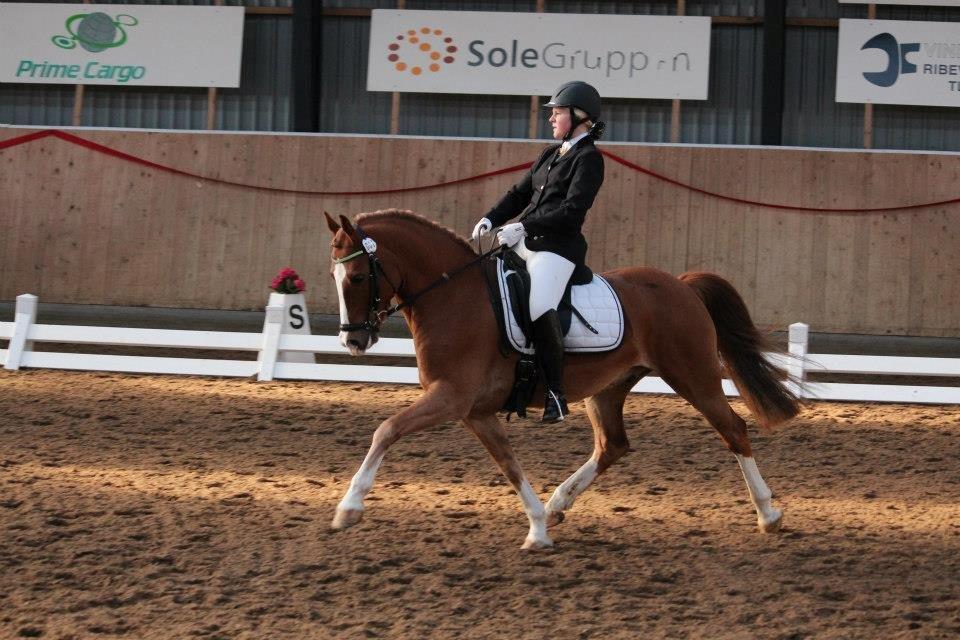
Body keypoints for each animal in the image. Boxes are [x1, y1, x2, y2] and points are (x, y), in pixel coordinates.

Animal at [324, 209, 800, 550]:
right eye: (334, 275)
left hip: (693, 376)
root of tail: (681, 285)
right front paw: (538, 528)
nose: (353, 340)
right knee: (612, 445)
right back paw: (557, 505)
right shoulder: (475, 411)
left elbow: (386, 430)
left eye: (359, 276)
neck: (453, 298)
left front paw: (349, 507)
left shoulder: (452, 398)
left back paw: (768, 515)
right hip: (608, 389)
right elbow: (508, 464)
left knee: (733, 429)